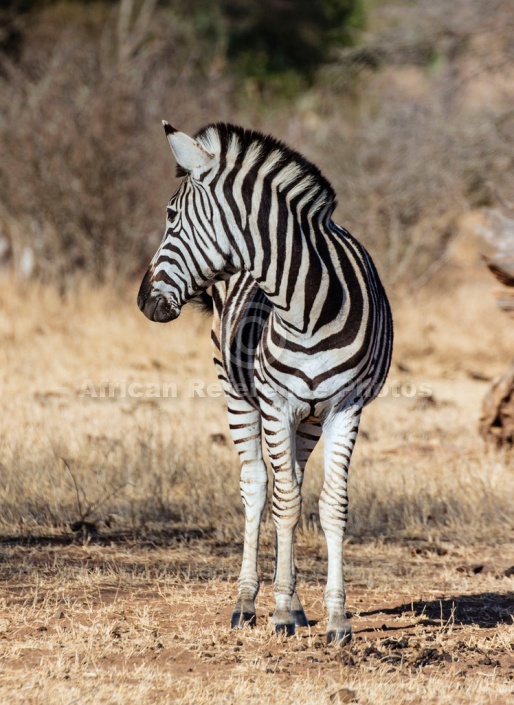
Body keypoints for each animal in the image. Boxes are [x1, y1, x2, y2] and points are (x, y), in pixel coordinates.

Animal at [137, 121, 392, 644]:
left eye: (171, 216)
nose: (142, 301)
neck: (308, 305)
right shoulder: (275, 404)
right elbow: (285, 504)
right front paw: (276, 614)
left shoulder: (345, 407)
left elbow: (330, 504)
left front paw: (336, 619)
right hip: (237, 393)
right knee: (259, 487)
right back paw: (248, 603)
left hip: (308, 419)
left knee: (288, 480)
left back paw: (294, 603)